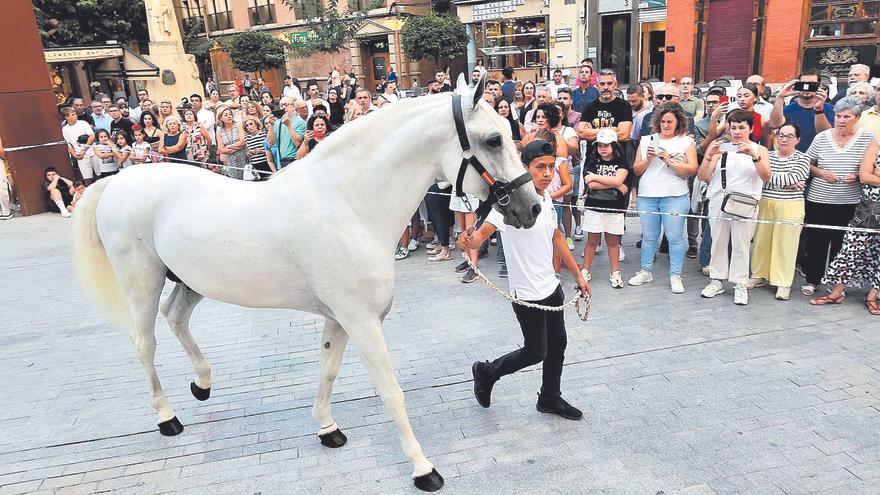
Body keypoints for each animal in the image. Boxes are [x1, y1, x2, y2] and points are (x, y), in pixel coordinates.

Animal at [71, 74, 541, 491]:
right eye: (493, 140)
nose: (533, 208)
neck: (349, 204)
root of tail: (117, 180)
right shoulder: (362, 321)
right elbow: (391, 391)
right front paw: (423, 468)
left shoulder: (341, 318)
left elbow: (328, 369)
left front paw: (327, 428)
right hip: (142, 283)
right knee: (145, 342)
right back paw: (168, 417)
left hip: (190, 282)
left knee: (176, 318)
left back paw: (202, 385)